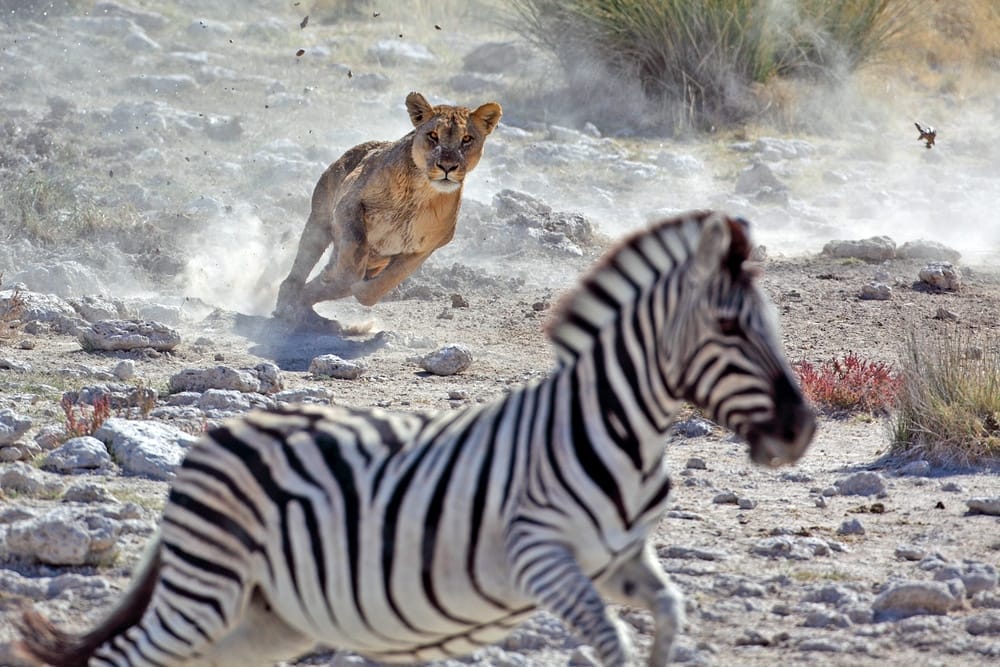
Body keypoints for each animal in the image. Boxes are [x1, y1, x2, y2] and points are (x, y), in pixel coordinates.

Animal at [18, 210, 816, 667]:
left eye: (773, 322)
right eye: (728, 328)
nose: (802, 428)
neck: (615, 431)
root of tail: (217, 438)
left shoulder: (620, 558)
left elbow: (670, 611)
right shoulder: (538, 556)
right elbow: (612, 641)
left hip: (265, 617)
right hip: (206, 593)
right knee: (125, 657)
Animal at [273, 91, 502, 332]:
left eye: (467, 139)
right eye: (433, 136)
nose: (447, 166)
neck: (421, 193)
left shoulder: (425, 248)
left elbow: (380, 287)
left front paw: (354, 289)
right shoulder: (348, 204)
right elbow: (353, 255)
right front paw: (336, 278)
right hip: (319, 222)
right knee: (296, 275)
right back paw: (290, 306)